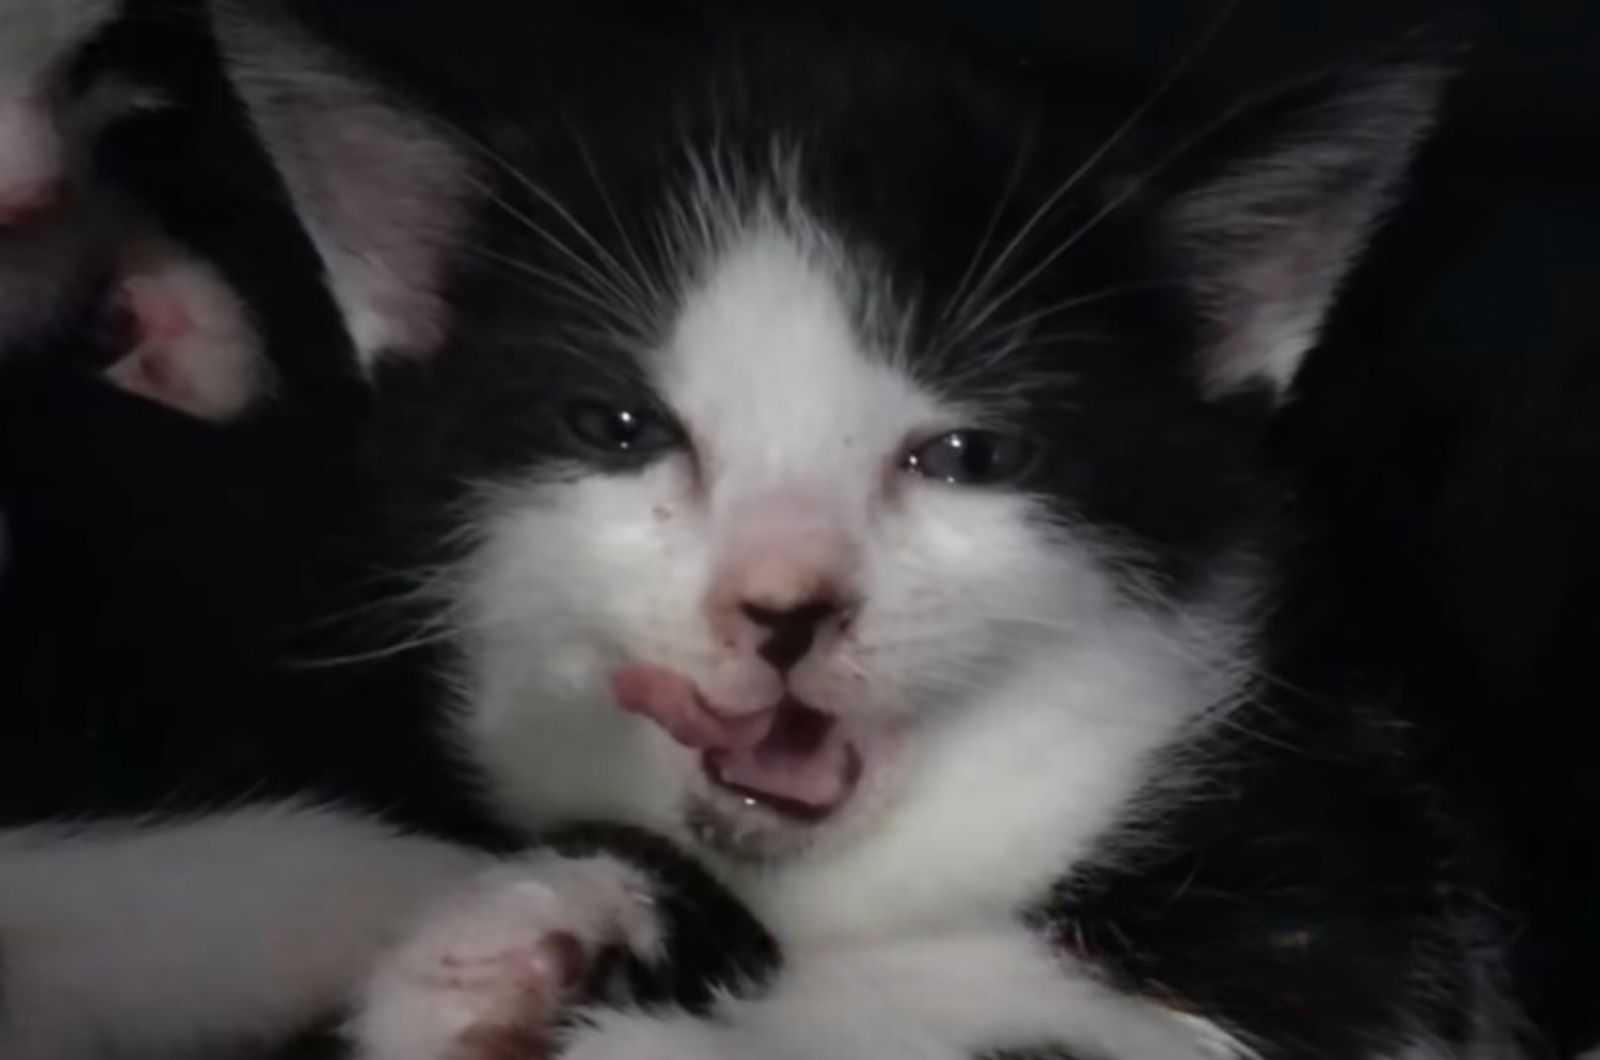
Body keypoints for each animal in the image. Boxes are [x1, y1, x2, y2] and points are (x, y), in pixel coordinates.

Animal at [0, 2, 1523, 1060]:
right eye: (622, 429)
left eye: (965, 456)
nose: (783, 607)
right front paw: (526, 941)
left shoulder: (1349, 901)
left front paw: (591, 988)